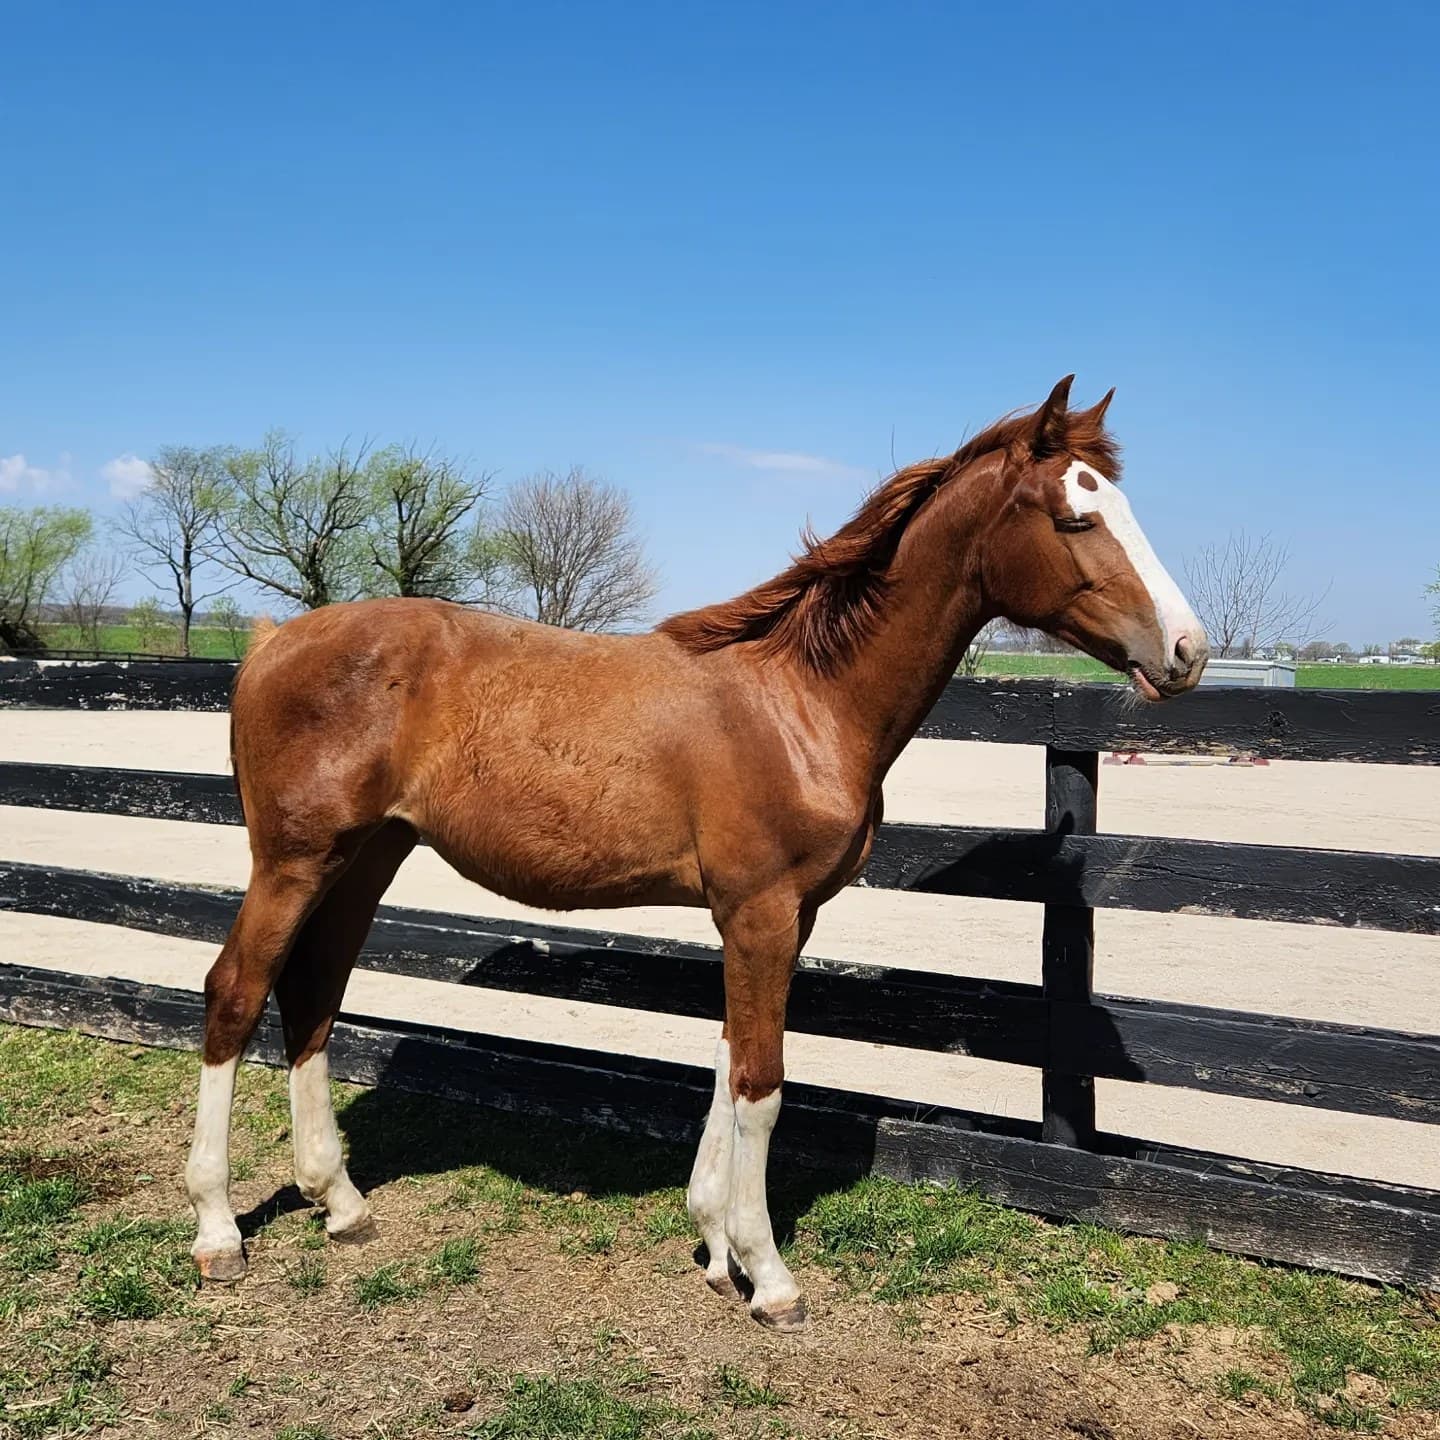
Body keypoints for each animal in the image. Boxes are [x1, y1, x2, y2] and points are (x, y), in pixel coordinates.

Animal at [185, 376, 1208, 1331]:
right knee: (236, 990)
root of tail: (272, 641)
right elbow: (760, 1084)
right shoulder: (760, 912)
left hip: (367, 858)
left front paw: (717, 1247)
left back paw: (342, 1204)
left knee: (312, 992)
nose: (1188, 650)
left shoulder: (777, 919)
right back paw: (217, 1232)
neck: (802, 701)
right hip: (295, 861)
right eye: (1075, 516)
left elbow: (725, 1065)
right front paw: (770, 1276)